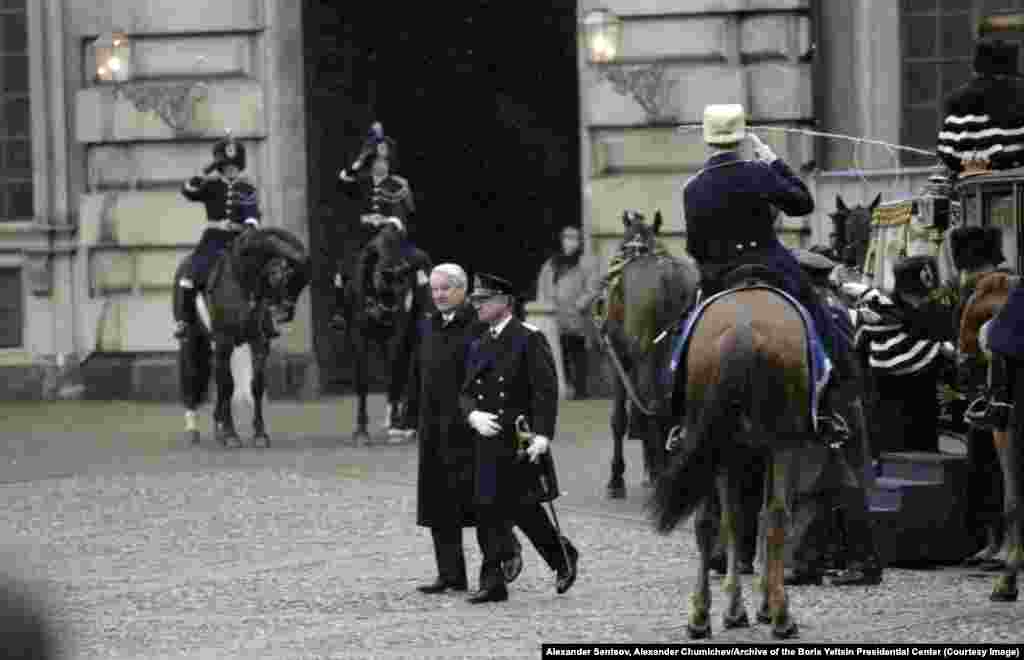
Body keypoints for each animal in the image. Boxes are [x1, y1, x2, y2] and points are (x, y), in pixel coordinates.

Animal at [173, 226, 307, 448]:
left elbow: (256, 385)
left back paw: (218, 426)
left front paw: (259, 434)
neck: (243, 280)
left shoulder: (259, 342)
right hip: (192, 339)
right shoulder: (224, 341)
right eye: (283, 277)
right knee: (193, 375)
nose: (285, 314)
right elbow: (228, 385)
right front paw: (231, 434)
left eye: (303, 282)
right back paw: (193, 429)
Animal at [337, 224, 430, 446]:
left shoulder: (398, 335)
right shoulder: (359, 335)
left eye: (405, 279)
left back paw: (403, 423)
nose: (389, 310)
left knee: (404, 371)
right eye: (380, 273)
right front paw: (361, 431)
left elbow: (395, 373)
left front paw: (396, 424)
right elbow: (362, 380)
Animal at [598, 213, 700, 497]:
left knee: (652, 406)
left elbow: (620, 419)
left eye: (622, 244)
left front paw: (616, 478)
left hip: (645, 357)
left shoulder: (619, 359)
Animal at [651, 272, 827, 638]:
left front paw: (735, 610)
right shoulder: (779, 450)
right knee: (776, 516)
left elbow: (735, 520)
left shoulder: (735, 455)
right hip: (782, 445)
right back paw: (782, 617)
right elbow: (765, 517)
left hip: (714, 446)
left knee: (708, 523)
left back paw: (699, 616)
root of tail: (742, 329)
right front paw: (765, 605)